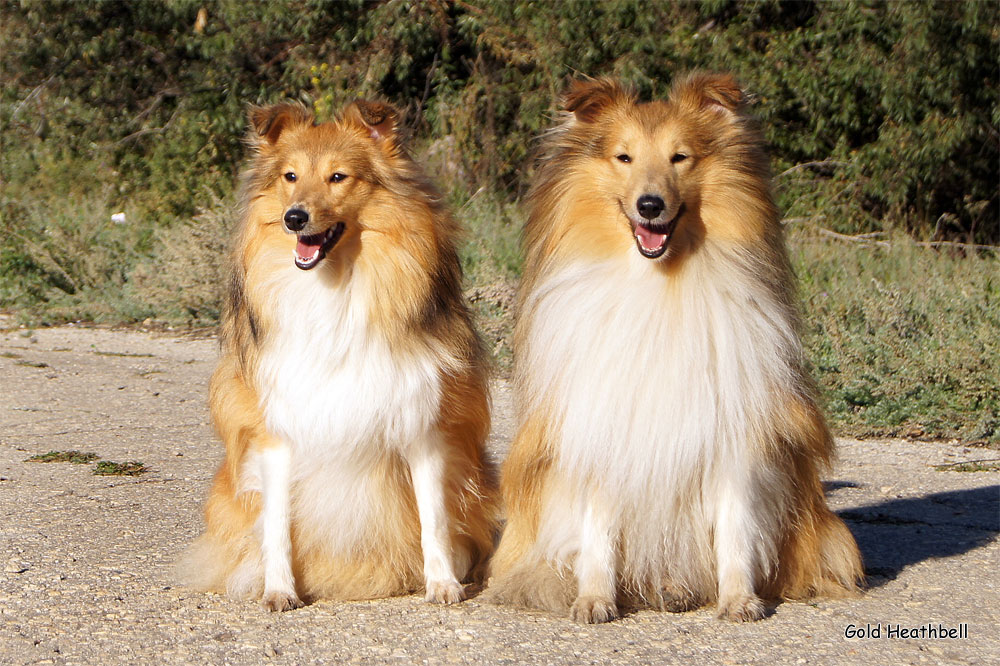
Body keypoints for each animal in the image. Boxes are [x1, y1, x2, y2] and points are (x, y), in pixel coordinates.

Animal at [182, 97, 498, 608]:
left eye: (338, 177)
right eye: (290, 176)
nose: (294, 218)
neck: (335, 288)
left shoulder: (424, 422)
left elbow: (433, 519)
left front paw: (443, 584)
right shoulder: (275, 429)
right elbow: (277, 525)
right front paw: (278, 589)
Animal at [488, 75, 864, 620]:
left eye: (680, 157)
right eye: (623, 157)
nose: (650, 205)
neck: (660, 284)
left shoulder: (732, 431)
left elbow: (734, 527)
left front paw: (739, 600)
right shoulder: (600, 428)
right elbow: (597, 531)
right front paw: (594, 599)